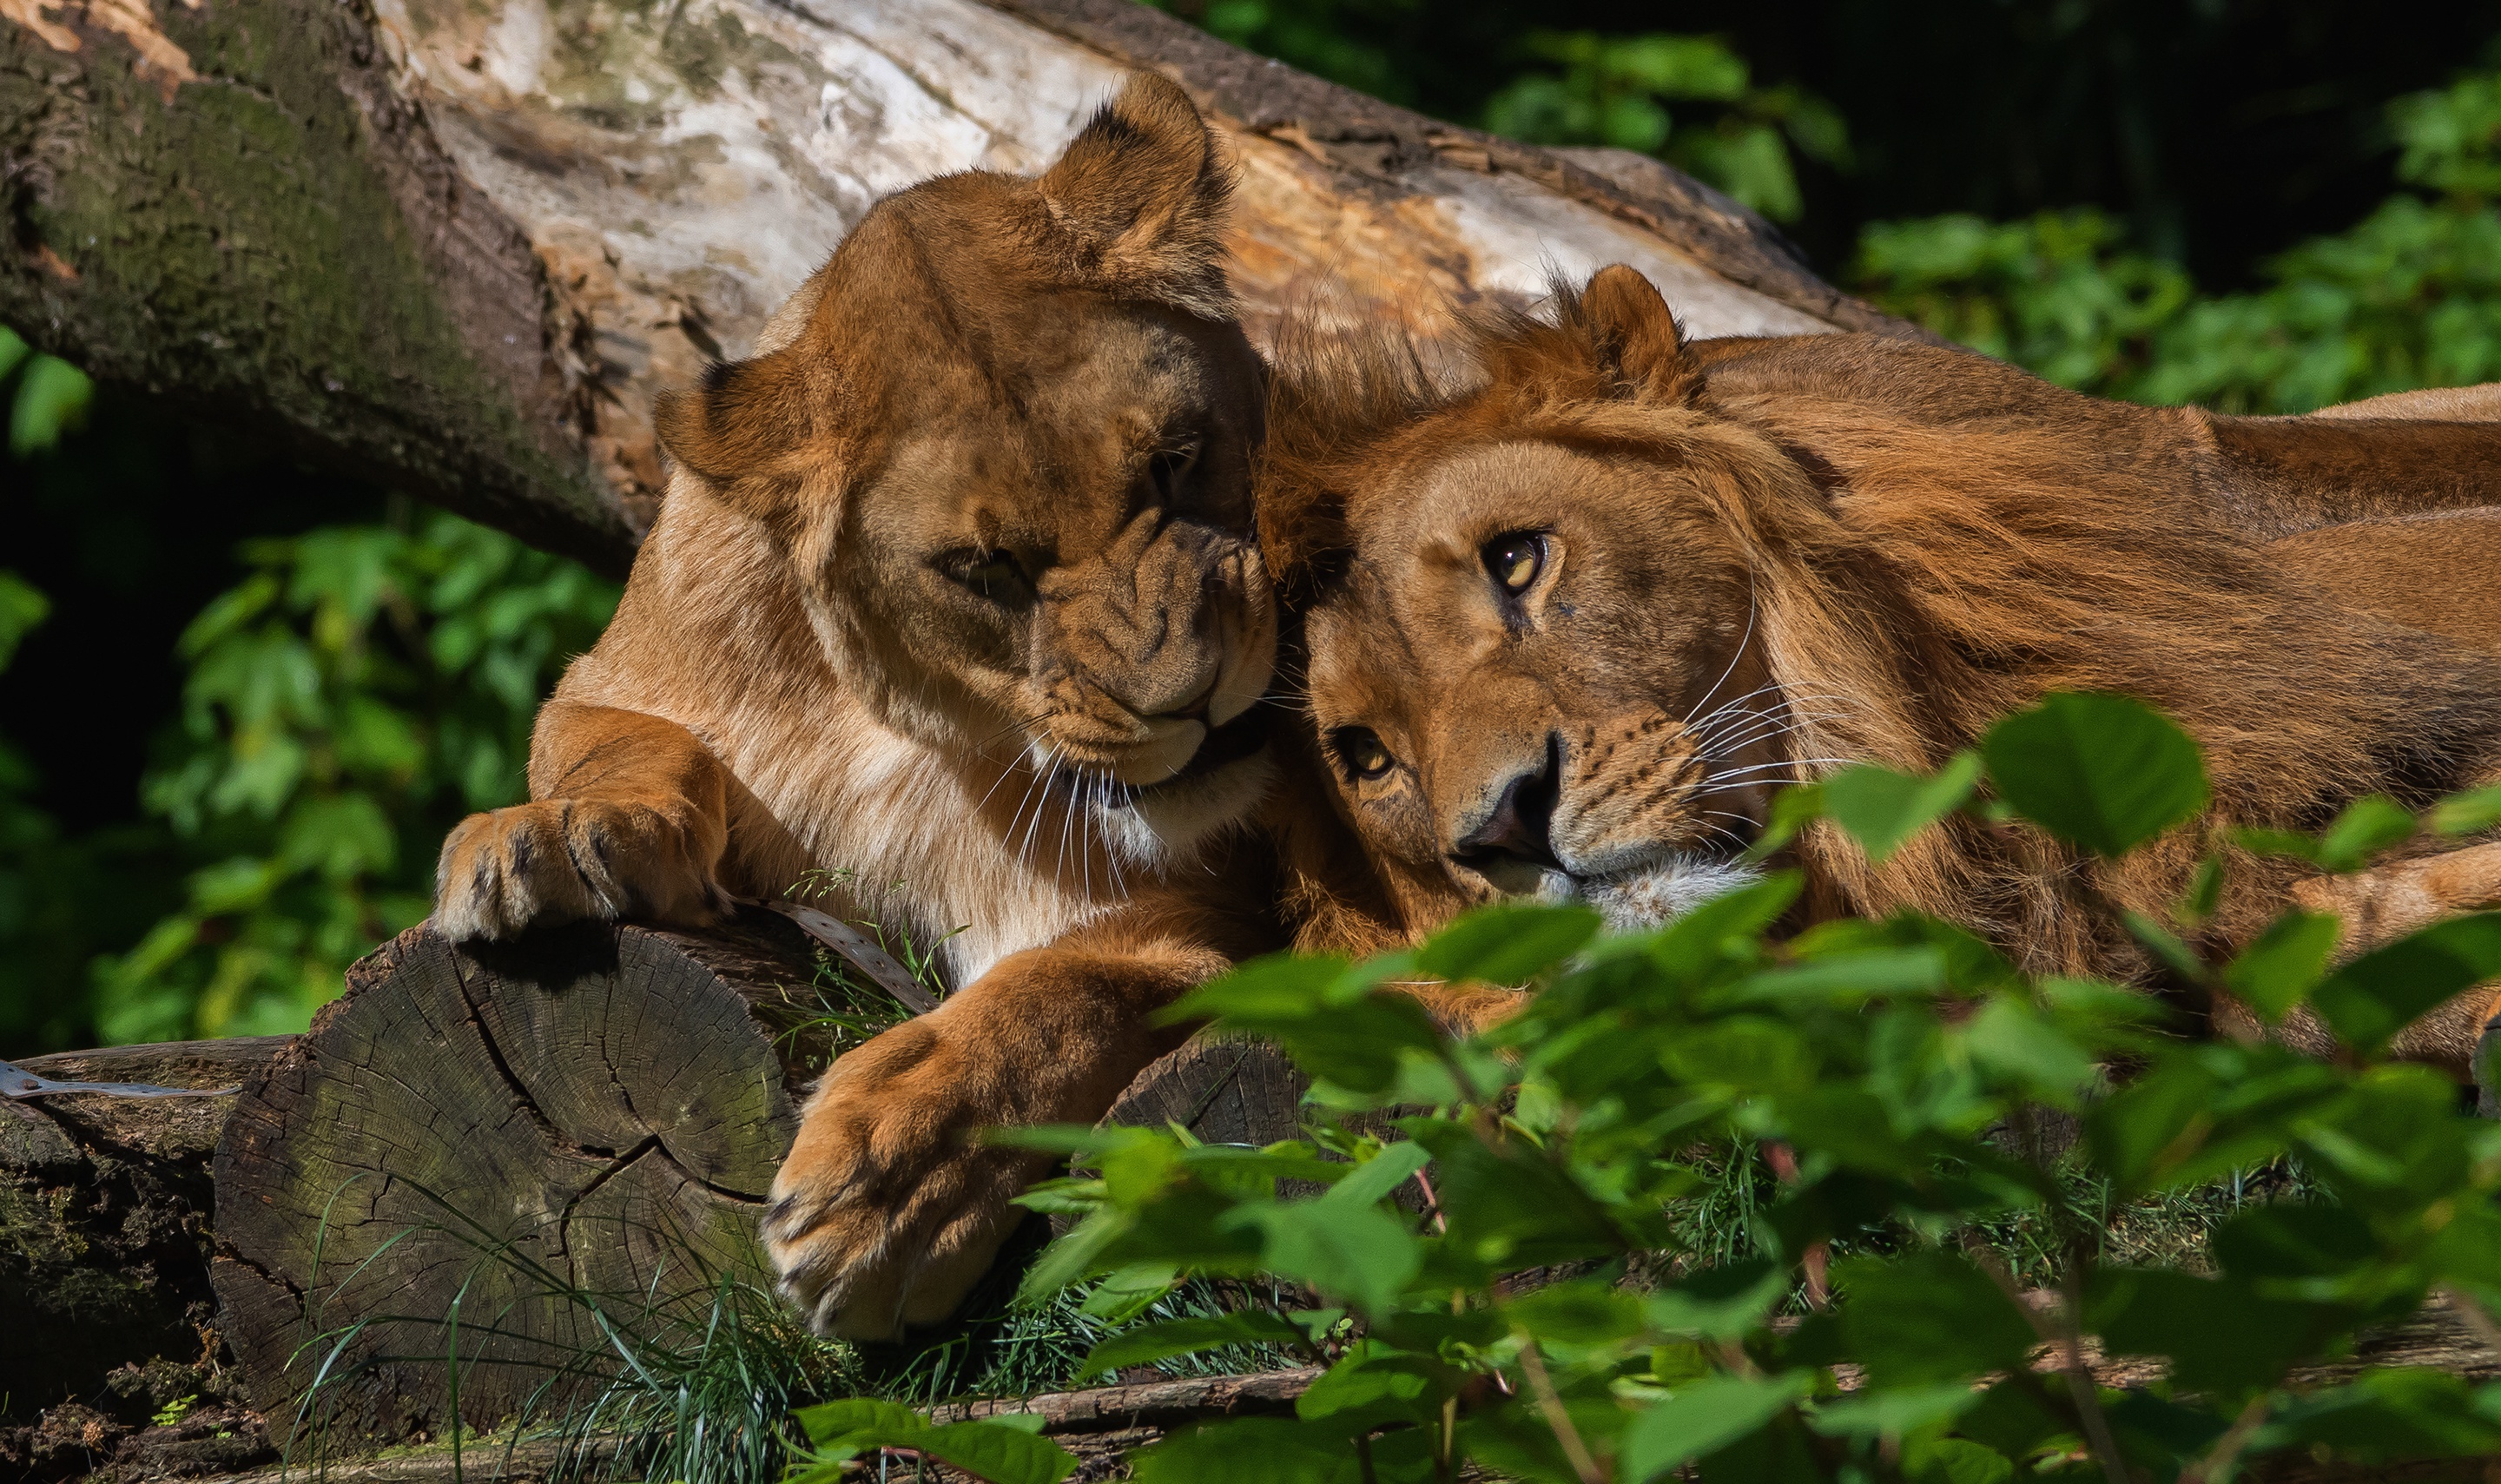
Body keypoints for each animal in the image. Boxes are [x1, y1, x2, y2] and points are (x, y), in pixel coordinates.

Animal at [430, 75, 1280, 1341]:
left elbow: (1058, 993)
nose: (1201, 703)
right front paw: (545, 839)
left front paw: (892, 1187)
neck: (915, 724)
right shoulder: (606, 678)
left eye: (1176, 461)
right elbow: (627, 743)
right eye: (985, 569)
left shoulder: (1221, 921)